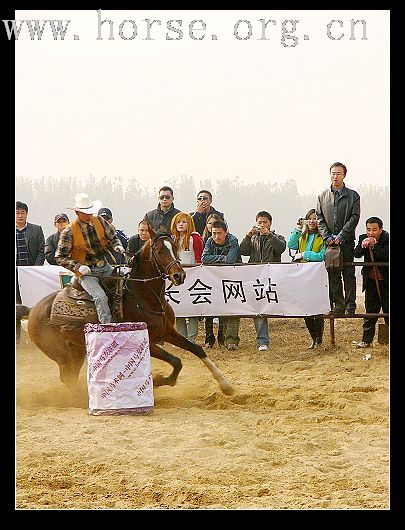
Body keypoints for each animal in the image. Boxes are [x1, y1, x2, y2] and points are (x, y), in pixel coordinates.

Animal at [24, 225, 234, 394]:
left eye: (175, 248)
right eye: (159, 251)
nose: (179, 275)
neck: (144, 296)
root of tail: (34, 310)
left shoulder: (167, 331)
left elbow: (196, 349)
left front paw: (225, 384)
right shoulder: (148, 342)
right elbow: (176, 361)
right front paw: (158, 380)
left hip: (76, 351)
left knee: (70, 378)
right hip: (62, 355)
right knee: (67, 378)